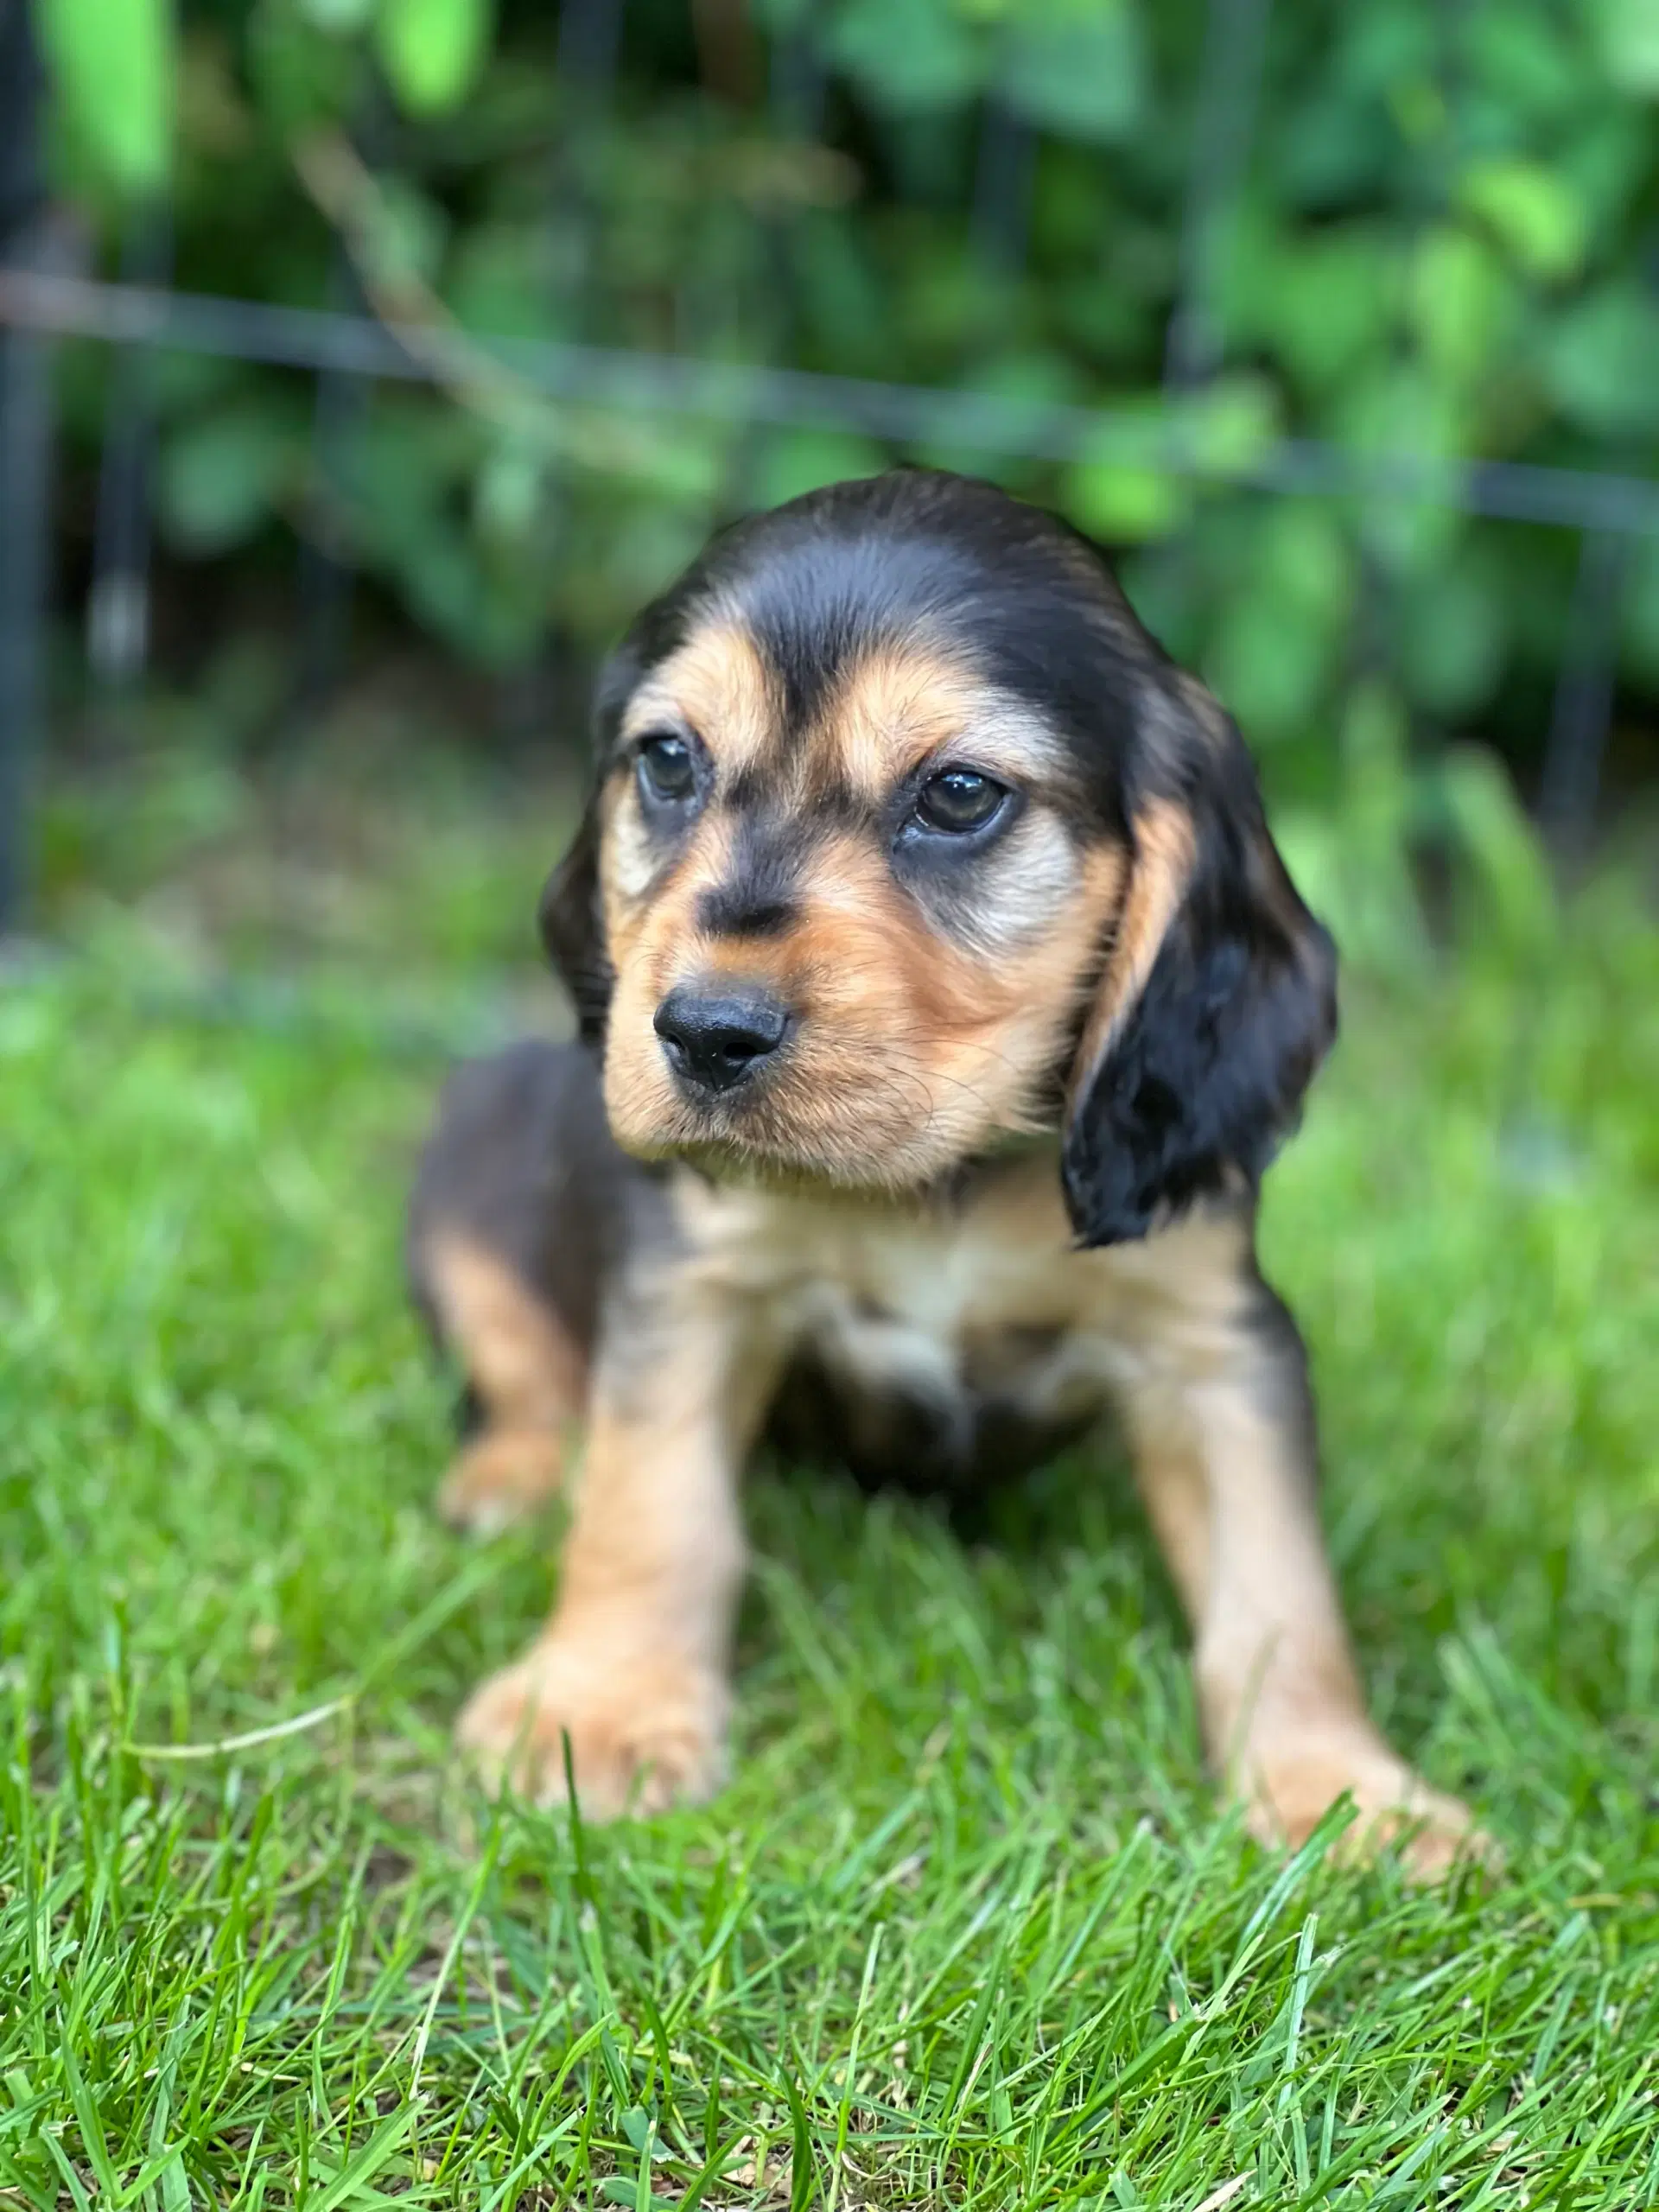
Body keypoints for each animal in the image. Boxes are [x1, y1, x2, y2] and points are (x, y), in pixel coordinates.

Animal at [413, 462, 1478, 1866]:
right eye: (668, 761)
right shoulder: (692, 1284)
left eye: (961, 795)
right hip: (464, 1163)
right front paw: (597, 1714)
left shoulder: (1212, 1333)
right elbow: (649, 1503)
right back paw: (516, 1474)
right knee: (525, 1371)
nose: (702, 1034)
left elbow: (1278, 1587)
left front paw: (1347, 1796)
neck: (944, 1177)